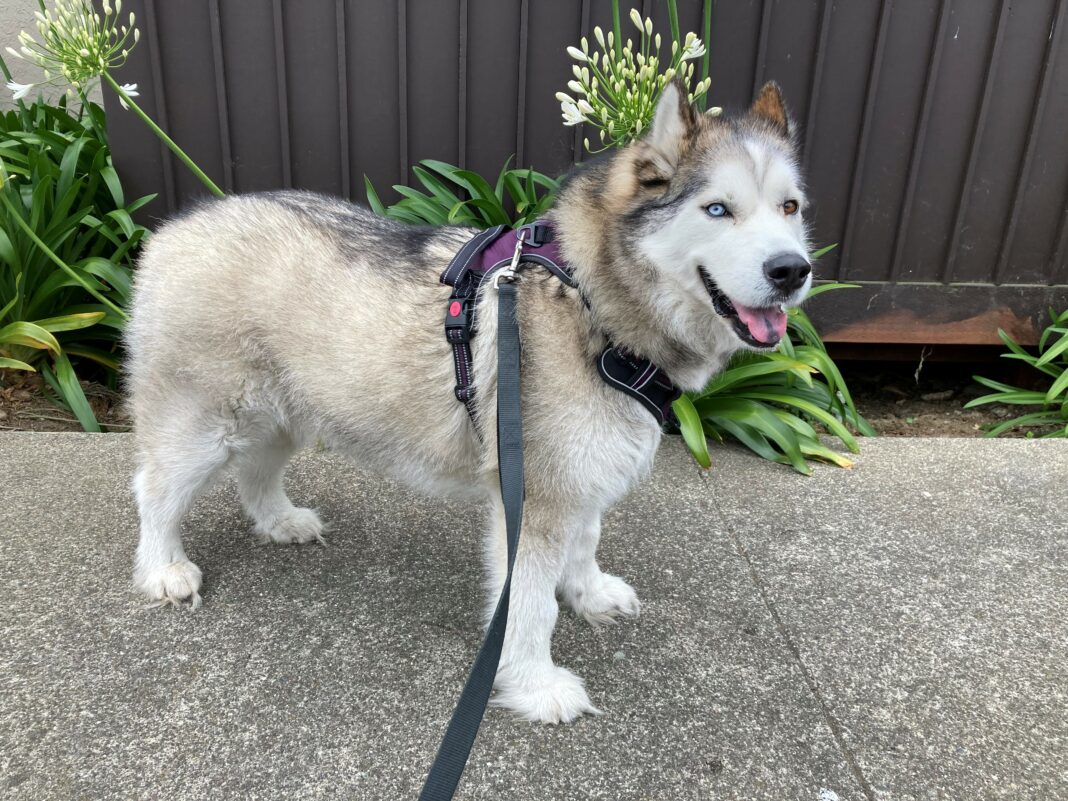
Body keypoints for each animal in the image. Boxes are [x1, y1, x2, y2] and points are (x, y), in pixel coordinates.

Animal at [124, 83, 807, 726]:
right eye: (717, 209)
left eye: (790, 207)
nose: (792, 270)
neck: (591, 300)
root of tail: (179, 225)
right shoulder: (535, 496)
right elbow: (527, 606)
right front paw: (535, 683)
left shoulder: (582, 473)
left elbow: (586, 540)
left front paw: (587, 593)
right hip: (205, 423)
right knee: (154, 489)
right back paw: (162, 569)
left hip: (285, 411)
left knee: (256, 469)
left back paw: (277, 520)